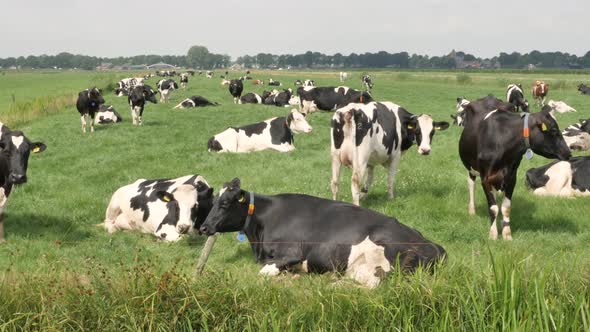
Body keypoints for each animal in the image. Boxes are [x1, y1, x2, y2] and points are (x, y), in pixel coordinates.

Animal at [200, 179, 448, 288]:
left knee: (378, 283)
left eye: (224, 203)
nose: (203, 227)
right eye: (213, 201)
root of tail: (435, 247)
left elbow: (263, 272)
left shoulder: (292, 252)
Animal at [460, 102, 572, 240]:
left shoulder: (512, 177)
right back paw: (472, 210)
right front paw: (493, 234)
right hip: (471, 168)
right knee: (471, 185)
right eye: (554, 130)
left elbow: (506, 207)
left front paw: (507, 234)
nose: (568, 153)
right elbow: (493, 207)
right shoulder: (485, 178)